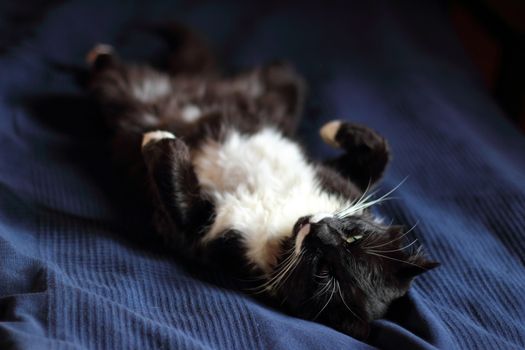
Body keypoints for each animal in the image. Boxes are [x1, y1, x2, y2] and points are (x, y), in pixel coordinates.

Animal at [86, 23, 438, 340]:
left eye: (324, 273)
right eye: (354, 236)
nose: (321, 230)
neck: (284, 223)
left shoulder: (198, 233)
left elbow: (179, 199)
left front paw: (158, 139)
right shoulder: (339, 179)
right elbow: (380, 155)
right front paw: (332, 129)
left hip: (125, 95)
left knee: (116, 80)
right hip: (269, 86)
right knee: (283, 74)